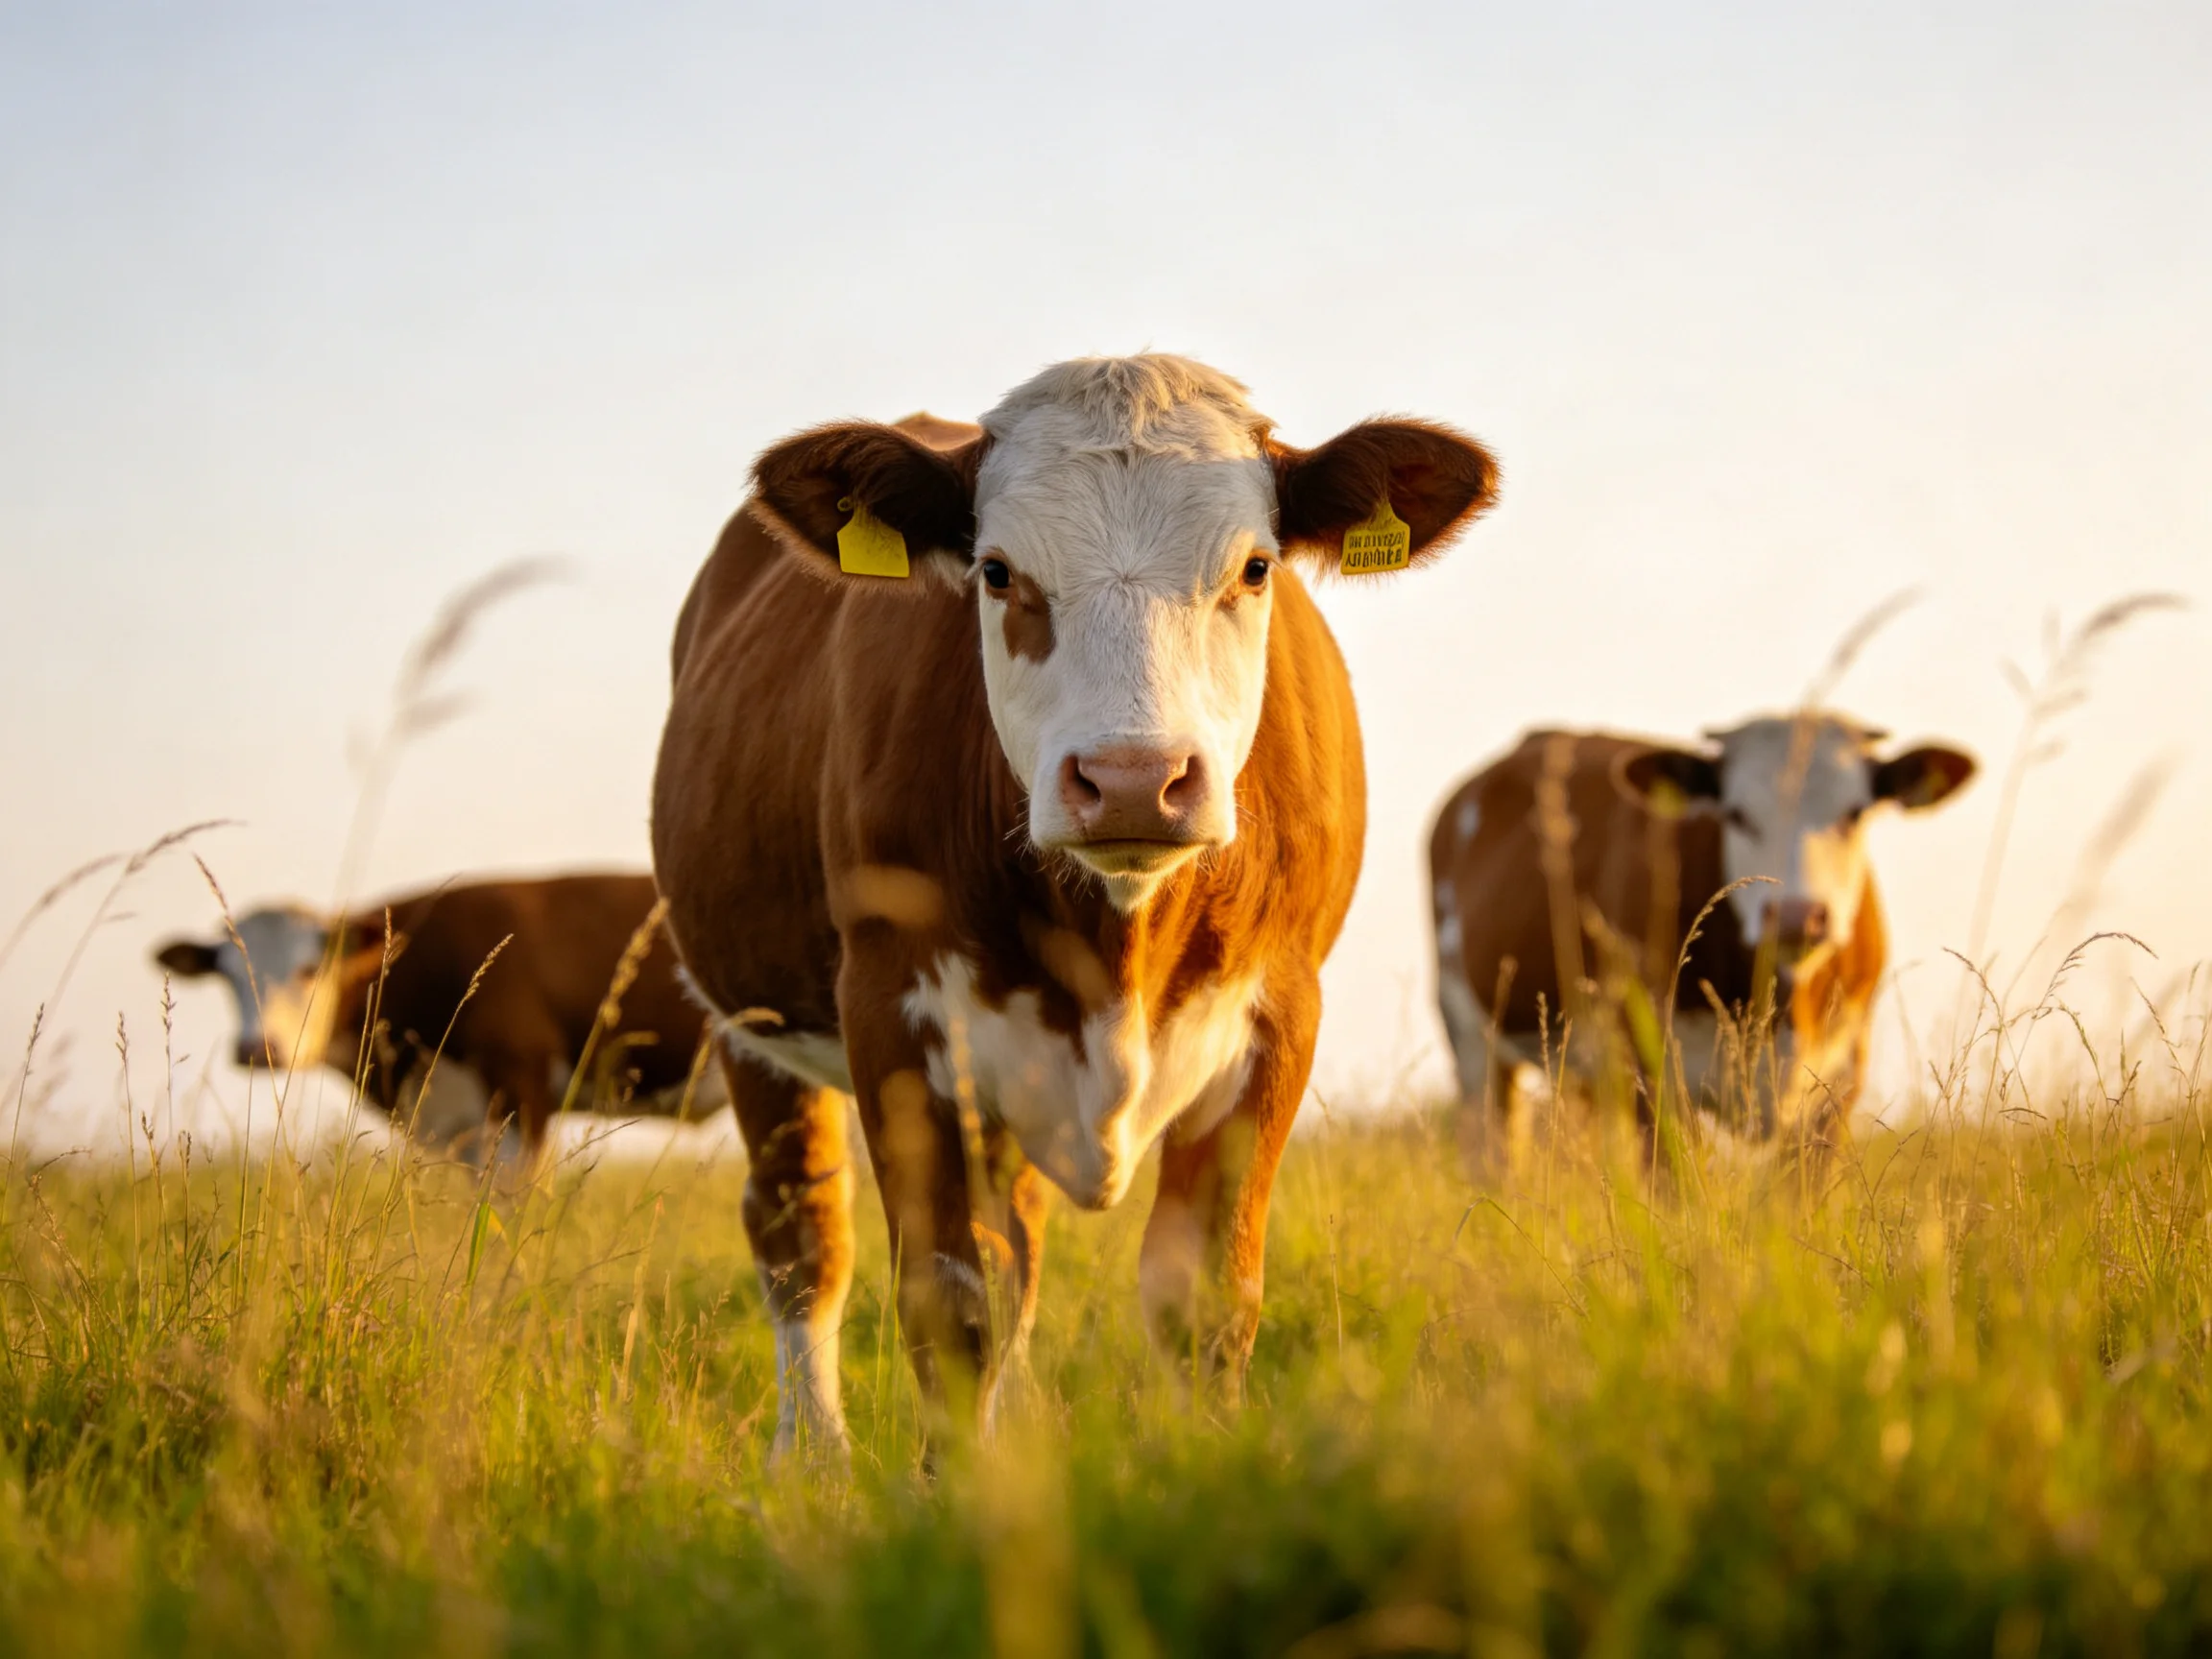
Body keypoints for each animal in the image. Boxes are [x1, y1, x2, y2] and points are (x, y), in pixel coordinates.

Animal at [651, 354, 1499, 1459]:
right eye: (997, 572)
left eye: (1254, 569)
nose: (1134, 780)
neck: (1118, 939)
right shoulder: (890, 1010)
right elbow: (948, 1300)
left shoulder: (1279, 1016)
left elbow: (1201, 1298)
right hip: (747, 1020)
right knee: (804, 1239)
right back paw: (813, 1457)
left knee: (1017, 1248)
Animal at [1428, 715, 1975, 1151]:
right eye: (1736, 813)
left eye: (1855, 812)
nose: (1796, 915)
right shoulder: (1653, 1076)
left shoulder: (1837, 1084)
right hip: (1471, 1037)